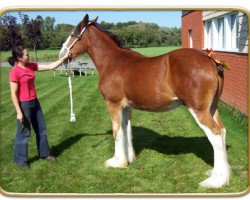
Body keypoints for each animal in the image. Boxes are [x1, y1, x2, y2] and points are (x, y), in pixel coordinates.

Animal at [59, 14, 230, 189]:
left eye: (73, 34)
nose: (61, 53)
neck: (113, 61)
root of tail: (212, 62)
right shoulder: (126, 108)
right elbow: (126, 130)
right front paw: (129, 159)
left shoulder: (113, 105)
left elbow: (116, 131)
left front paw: (117, 162)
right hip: (212, 108)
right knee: (222, 132)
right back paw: (220, 174)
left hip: (198, 110)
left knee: (216, 135)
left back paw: (216, 180)